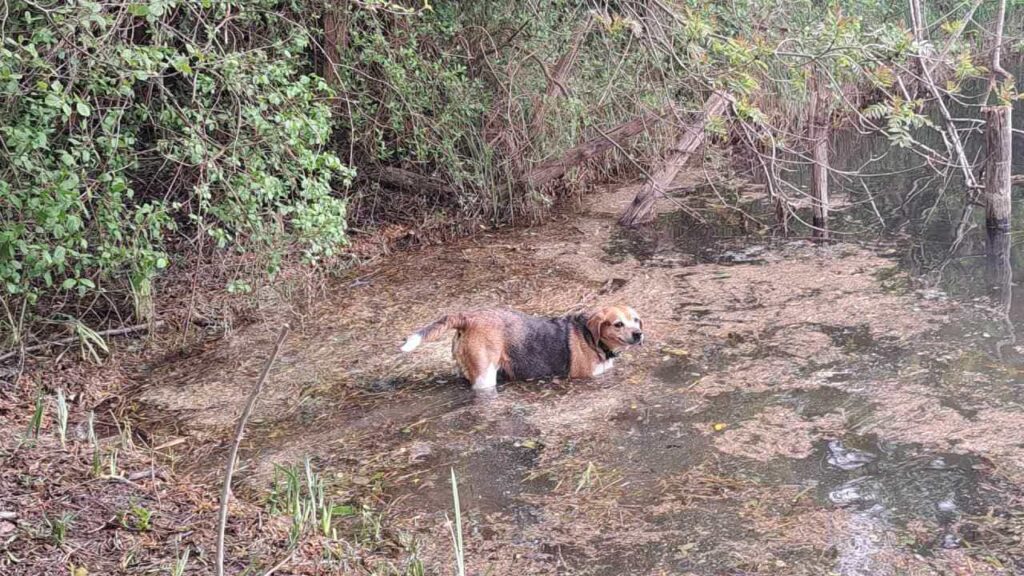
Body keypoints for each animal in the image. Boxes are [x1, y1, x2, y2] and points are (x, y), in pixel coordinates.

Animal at [397, 305, 638, 389]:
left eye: (636, 320)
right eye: (618, 324)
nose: (639, 334)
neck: (591, 337)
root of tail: (468, 318)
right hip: (485, 377)